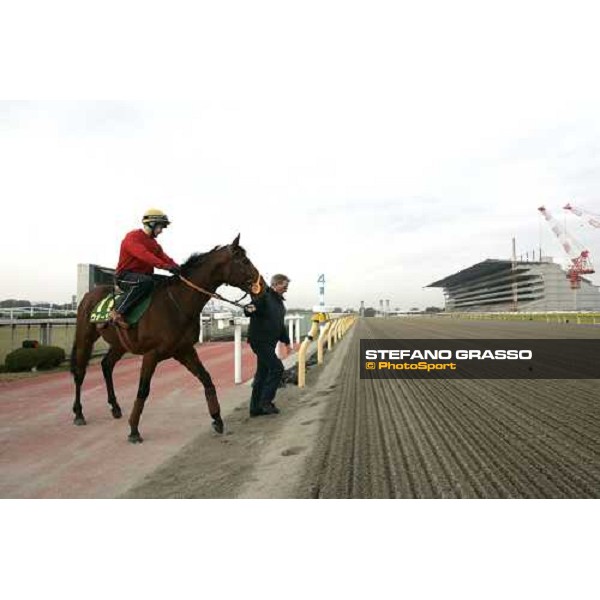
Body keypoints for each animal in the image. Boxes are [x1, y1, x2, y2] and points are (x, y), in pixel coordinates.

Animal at [69, 234, 262, 440]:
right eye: (244, 260)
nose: (261, 283)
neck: (177, 303)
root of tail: (88, 295)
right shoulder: (151, 354)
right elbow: (143, 390)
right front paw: (134, 429)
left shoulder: (184, 350)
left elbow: (206, 378)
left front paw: (217, 418)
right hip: (85, 336)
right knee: (80, 372)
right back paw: (79, 413)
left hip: (119, 344)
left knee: (106, 365)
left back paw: (115, 407)